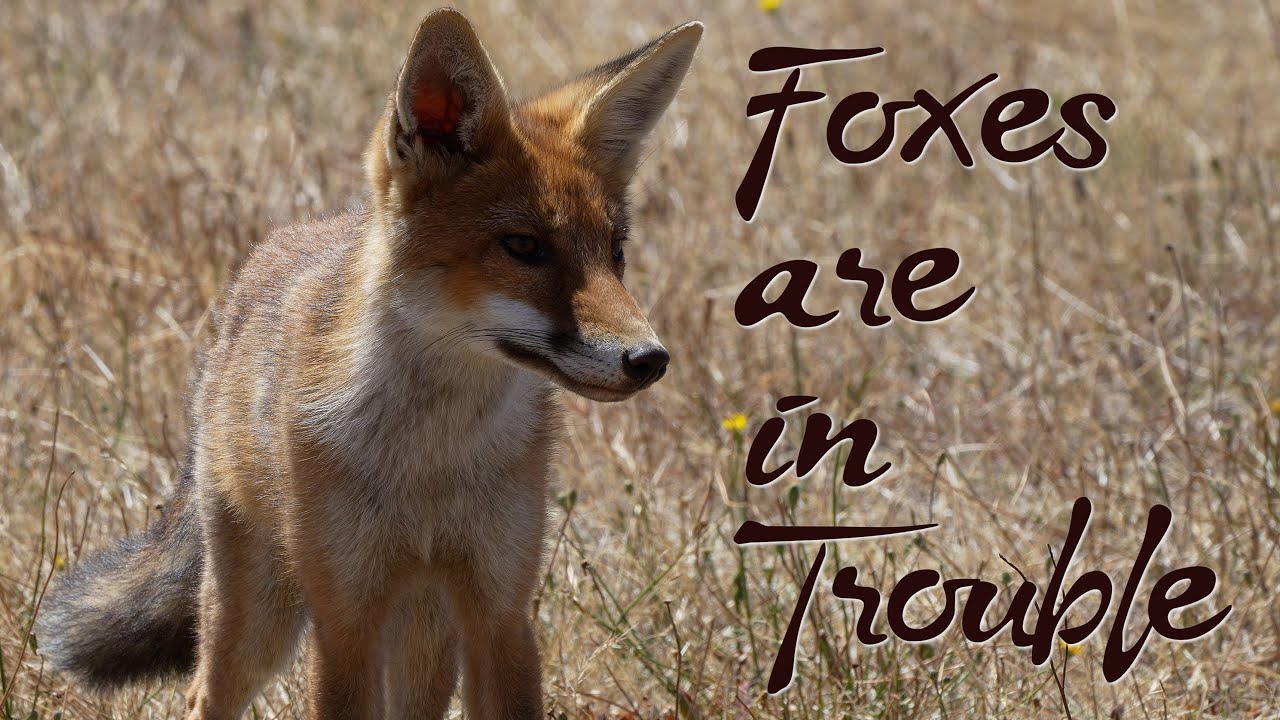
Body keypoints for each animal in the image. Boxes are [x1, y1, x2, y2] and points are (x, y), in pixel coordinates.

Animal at [39, 8, 701, 719]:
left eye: (615, 253)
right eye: (524, 246)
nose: (649, 359)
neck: (430, 464)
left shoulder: (499, 614)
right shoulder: (345, 620)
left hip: (422, 631)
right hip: (260, 624)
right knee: (200, 693)